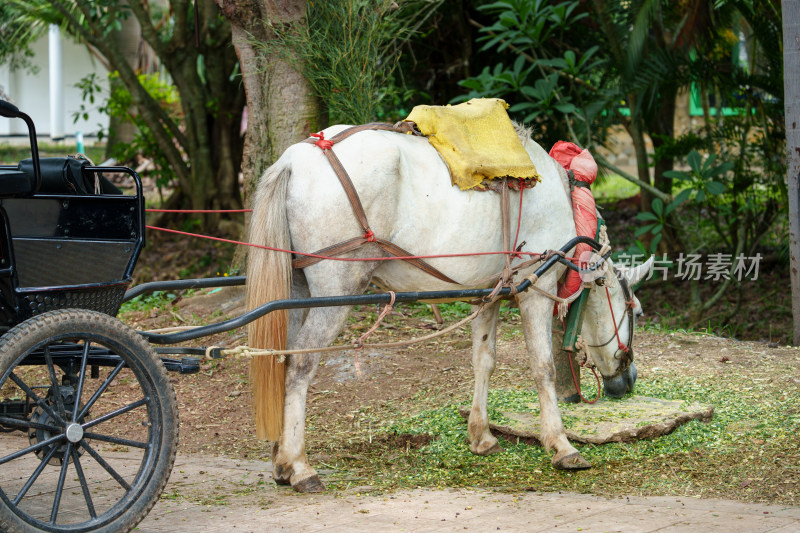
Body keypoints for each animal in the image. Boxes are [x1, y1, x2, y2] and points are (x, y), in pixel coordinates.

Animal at [247, 124, 652, 490]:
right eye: (636, 311)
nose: (629, 380)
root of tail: (295, 159)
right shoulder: (536, 287)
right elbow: (543, 368)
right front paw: (561, 444)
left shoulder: (488, 295)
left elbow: (484, 361)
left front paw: (481, 435)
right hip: (336, 292)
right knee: (300, 366)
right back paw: (300, 466)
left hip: (297, 290)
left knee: (281, 359)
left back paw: (281, 461)